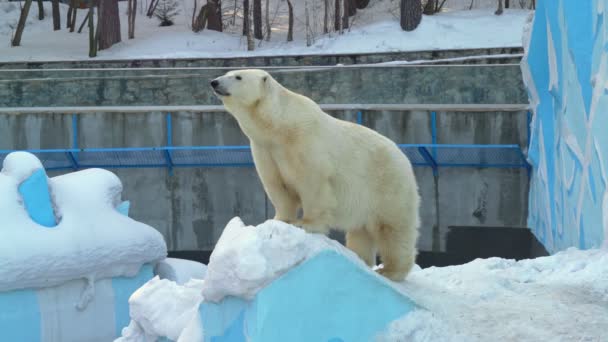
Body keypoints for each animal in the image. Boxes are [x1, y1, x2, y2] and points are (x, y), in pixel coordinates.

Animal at [209, 69, 418, 280]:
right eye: (227, 72)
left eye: (238, 77)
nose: (214, 82)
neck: (280, 126)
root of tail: (404, 158)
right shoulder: (266, 150)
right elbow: (277, 186)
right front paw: (278, 220)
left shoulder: (304, 142)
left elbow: (312, 183)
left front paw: (305, 224)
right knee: (361, 232)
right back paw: (360, 258)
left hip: (388, 185)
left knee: (392, 229)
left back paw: (389, 270)